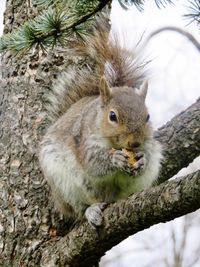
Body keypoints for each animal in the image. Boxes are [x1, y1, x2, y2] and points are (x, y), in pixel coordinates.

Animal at [39, 19, 162, 228]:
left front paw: (142, 160)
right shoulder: (84, 141)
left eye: (147, 117)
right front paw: (115, 160)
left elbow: (147, 157)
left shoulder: (150, 146)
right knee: (79, 208)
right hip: (63, 183)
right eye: (112, 116)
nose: (135, 143)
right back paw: (91, 210)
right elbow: (93, 163)